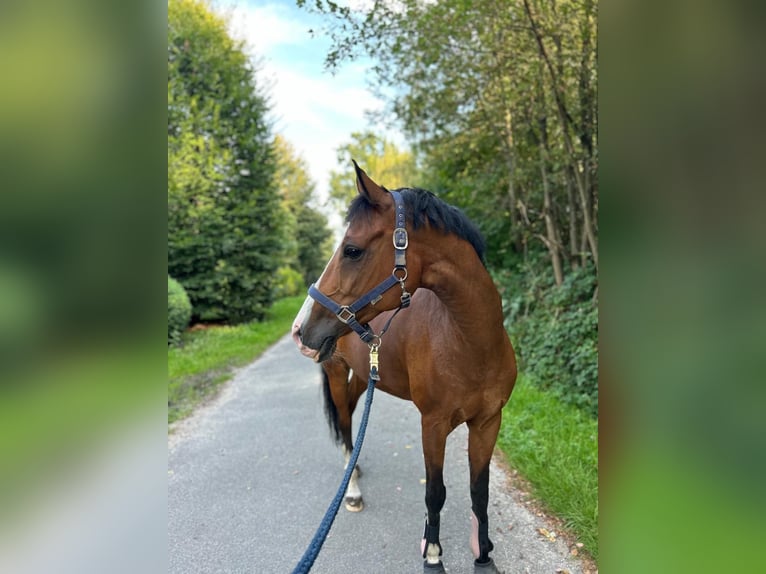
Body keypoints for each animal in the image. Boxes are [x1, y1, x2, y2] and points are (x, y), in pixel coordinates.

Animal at [292, 163, 520, 574]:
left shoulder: (488, 422)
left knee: (352, 417)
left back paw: (355, 469)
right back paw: (352, 491)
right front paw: (433, 556)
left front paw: (483, 555)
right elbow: (435, 492)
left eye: (352, 250)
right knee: (345, 425)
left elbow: (479, 490)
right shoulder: (433, 425)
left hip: (362, 376)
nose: (300, 331)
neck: (468, 343)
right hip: (336, 374)